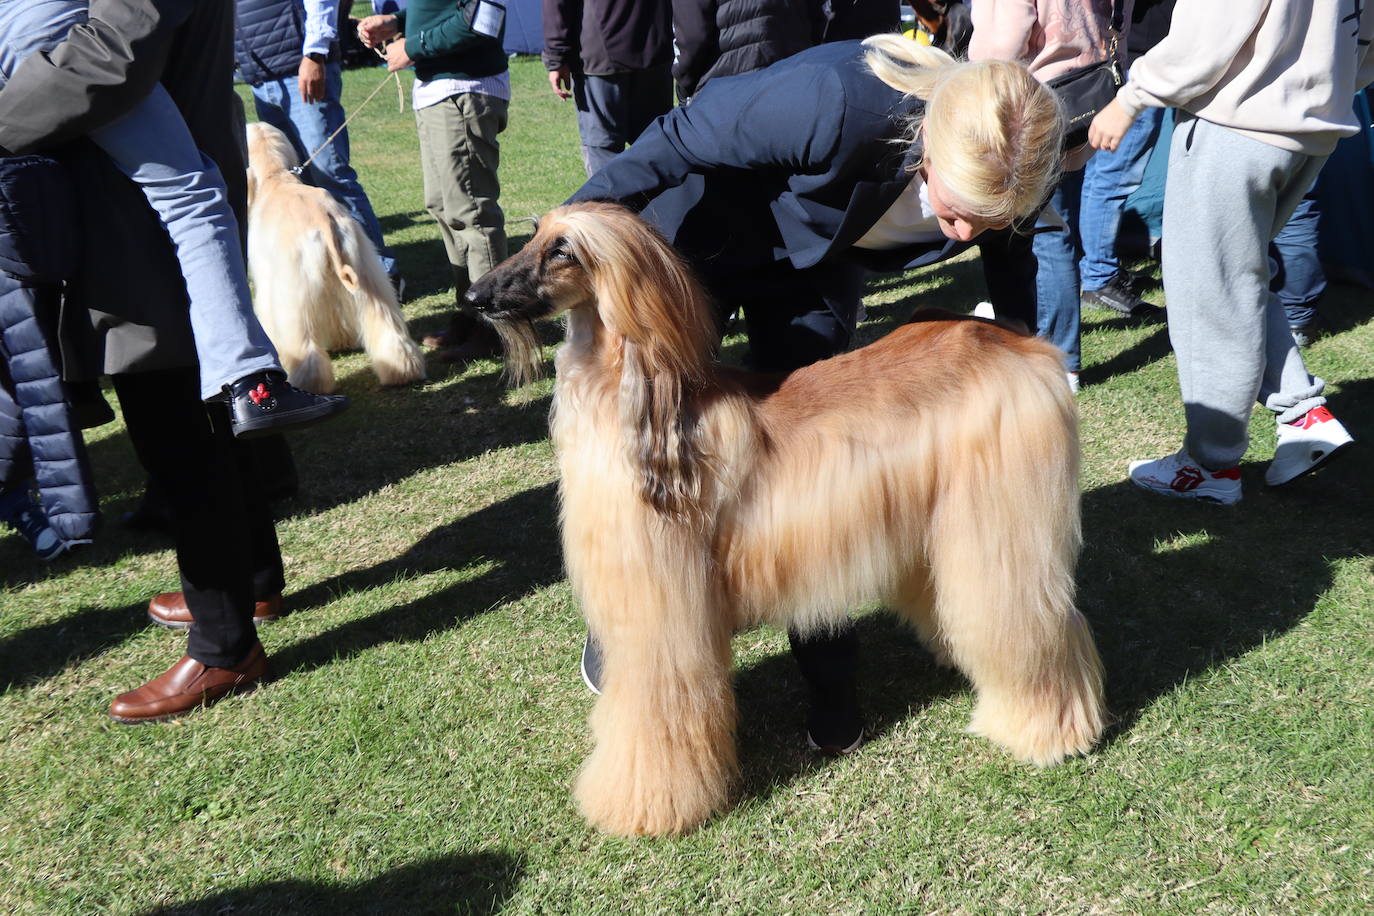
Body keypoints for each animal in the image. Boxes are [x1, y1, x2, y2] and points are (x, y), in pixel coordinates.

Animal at [244, 120, 420, 392]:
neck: (276, 177)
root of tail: (324, 219)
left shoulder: (268, 280)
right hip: (365, 269)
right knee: (387, 327)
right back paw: (403, 372)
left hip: (295, 289)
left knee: (305, 347)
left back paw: (308, 383)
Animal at [467, 201, 1099, 840]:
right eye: (533, 236)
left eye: (563, 250)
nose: (474, 297)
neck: (632, 399)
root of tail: (1020, 341)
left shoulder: (662, 611)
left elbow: (656, 711)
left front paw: (644, 803)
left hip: (998, 522)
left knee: (1034, 619)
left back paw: (1045, 731)